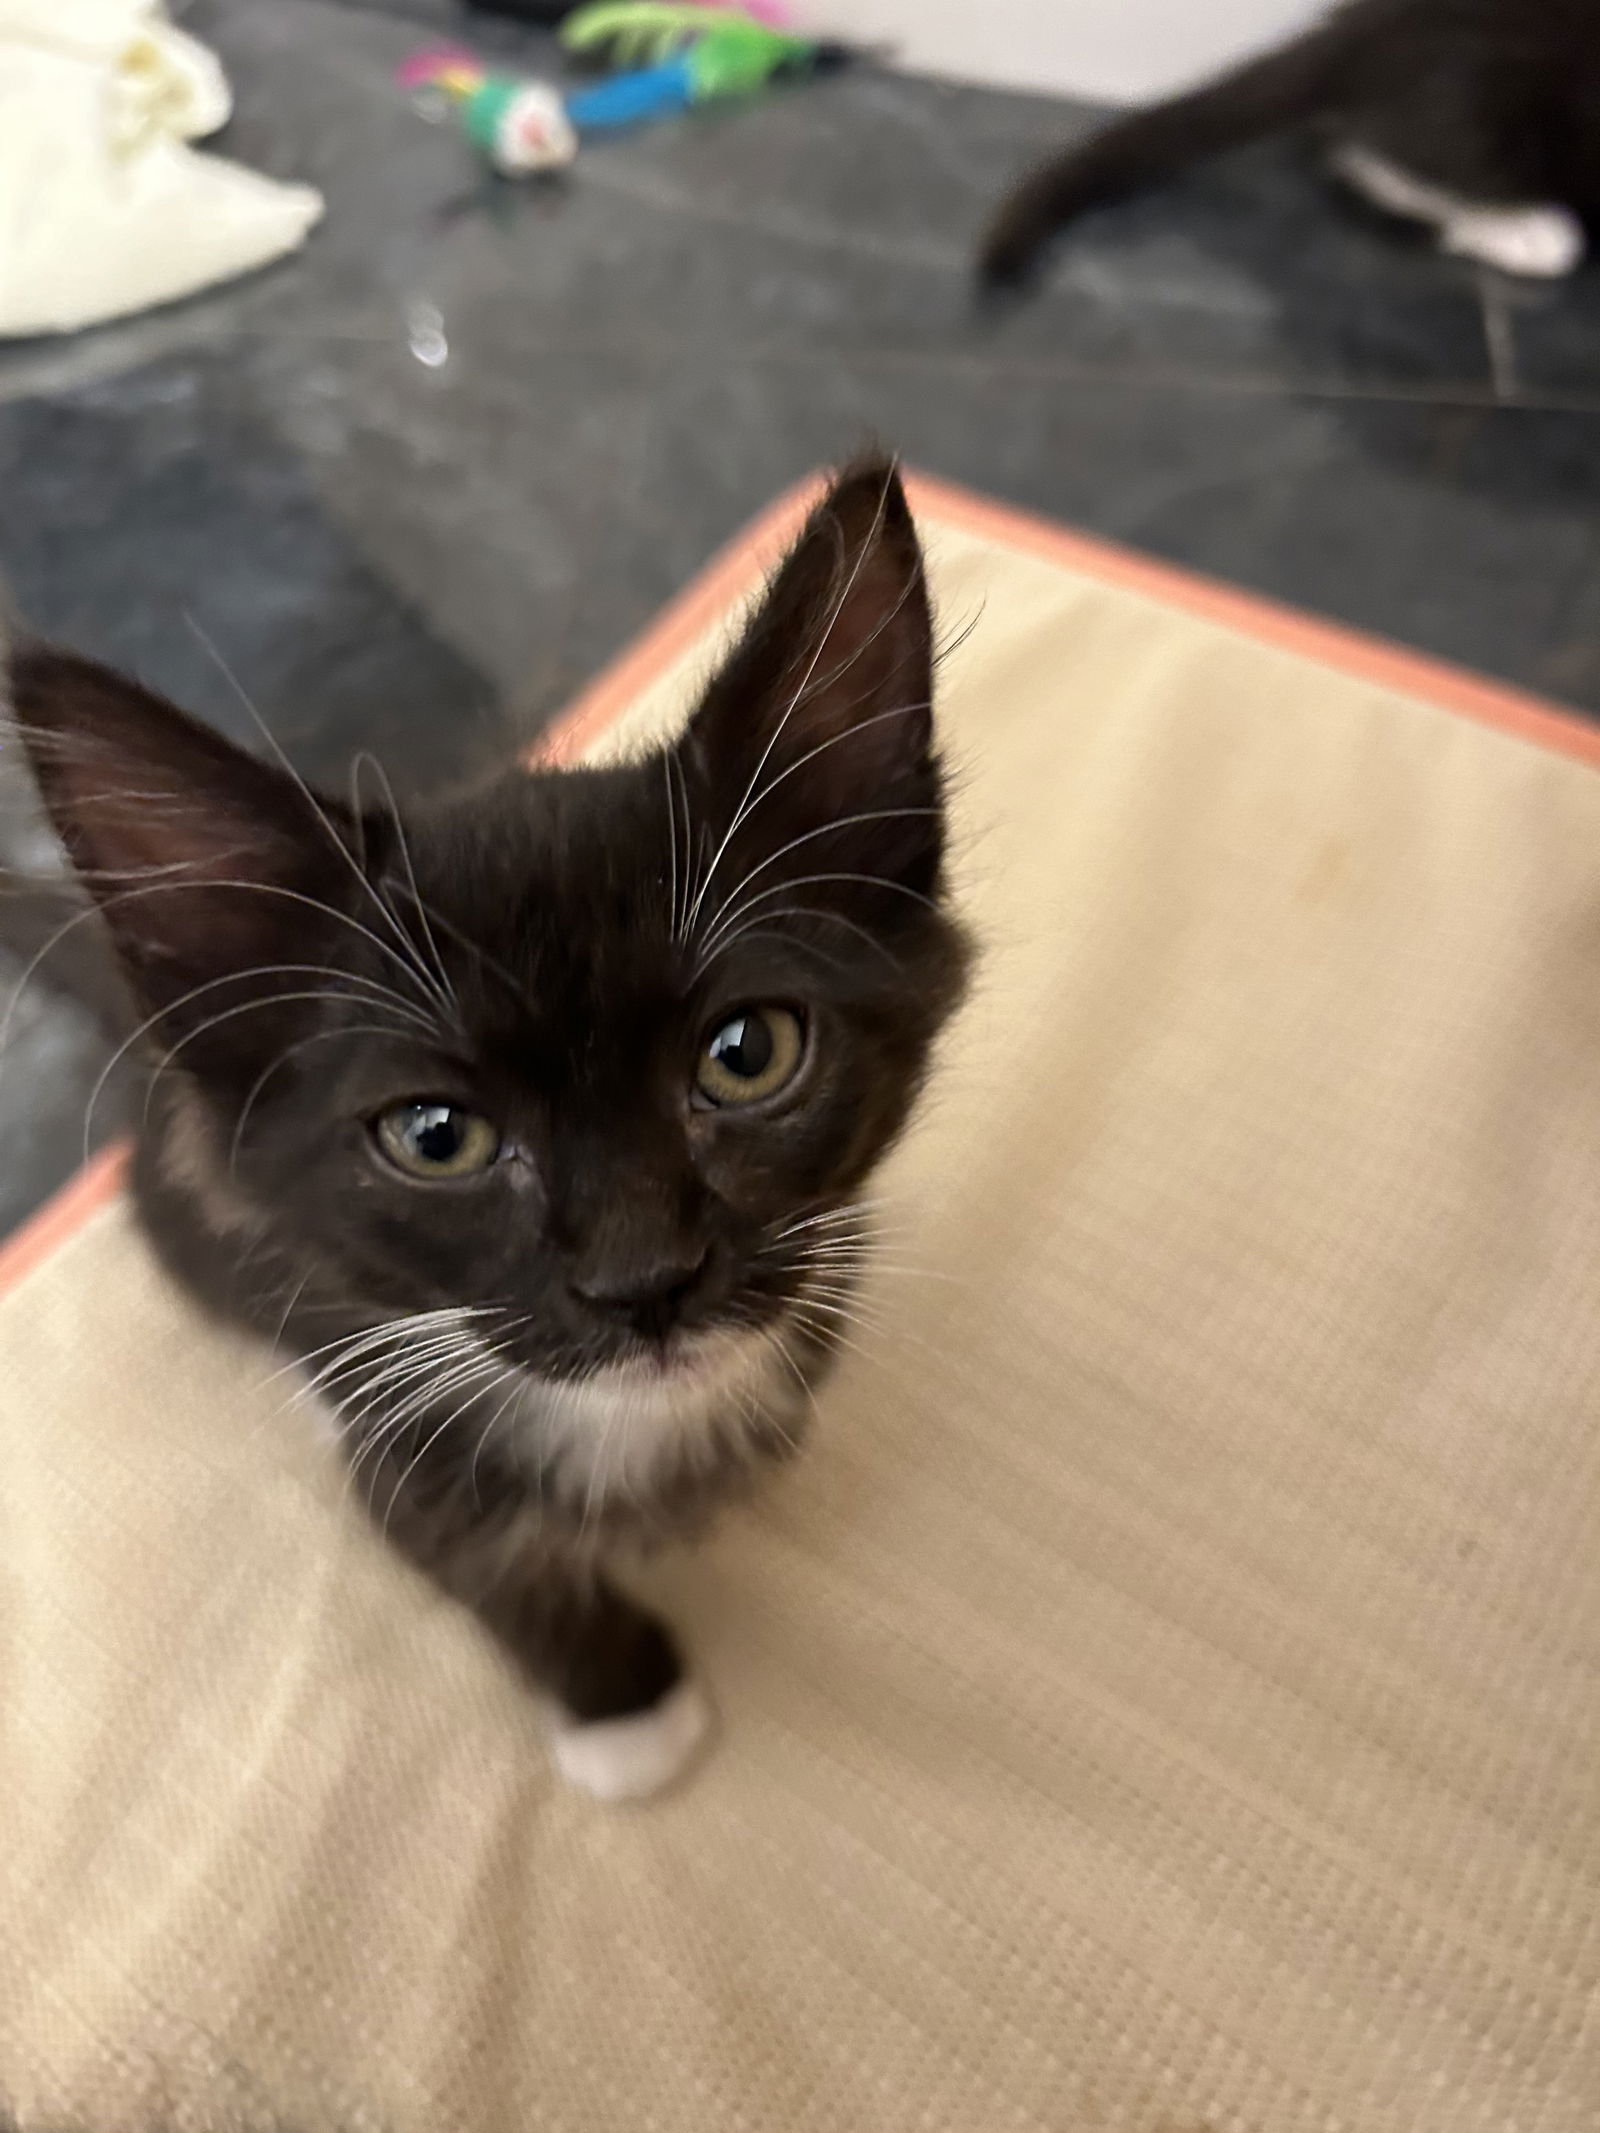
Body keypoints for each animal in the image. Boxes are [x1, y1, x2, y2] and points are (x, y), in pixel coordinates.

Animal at [9, 462, 964, 1800]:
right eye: (434, 1137)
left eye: (746, 1054)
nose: (644, 1283)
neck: (627, 1424)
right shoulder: (399, 1444)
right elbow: (474, 1556)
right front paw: (626, 1708)